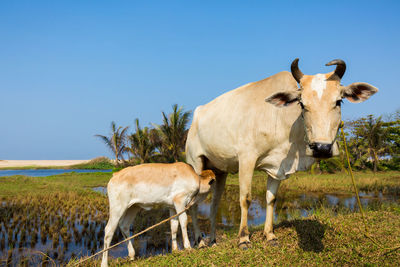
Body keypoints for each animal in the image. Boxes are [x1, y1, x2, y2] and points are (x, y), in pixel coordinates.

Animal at [185, 58, 378, 249]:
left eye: (338, 102)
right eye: (302, 104)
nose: (322, 148)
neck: (280, 119)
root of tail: (196, 116)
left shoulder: (277, 167)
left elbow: (271, 199)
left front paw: (270, 235)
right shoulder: (246, 158)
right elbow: (245, 198)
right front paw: (243, 239)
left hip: (220, 171)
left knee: (214, 205)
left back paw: (213, 240)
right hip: (195, 163)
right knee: (193, 205)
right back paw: (200, 241)